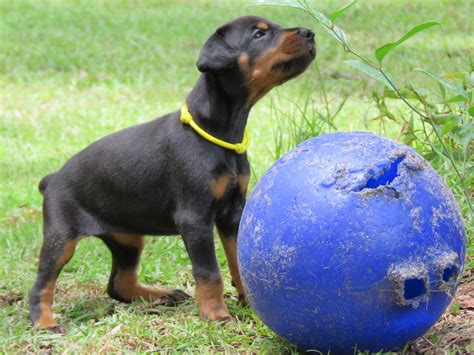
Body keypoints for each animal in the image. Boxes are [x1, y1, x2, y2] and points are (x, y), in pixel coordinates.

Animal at [31, 15, 316, 332]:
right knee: (42, 283)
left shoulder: (233, 214)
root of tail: (52, 179)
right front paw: (216, 314)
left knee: (119, 283)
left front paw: (248, 304)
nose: (310, 33)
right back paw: (45, 322)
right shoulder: (194, 218)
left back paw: (163, 295)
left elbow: (237, 261)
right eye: (258, 34)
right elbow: (209, 272)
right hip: (61, 236)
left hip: (128, 237)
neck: (220, 134)